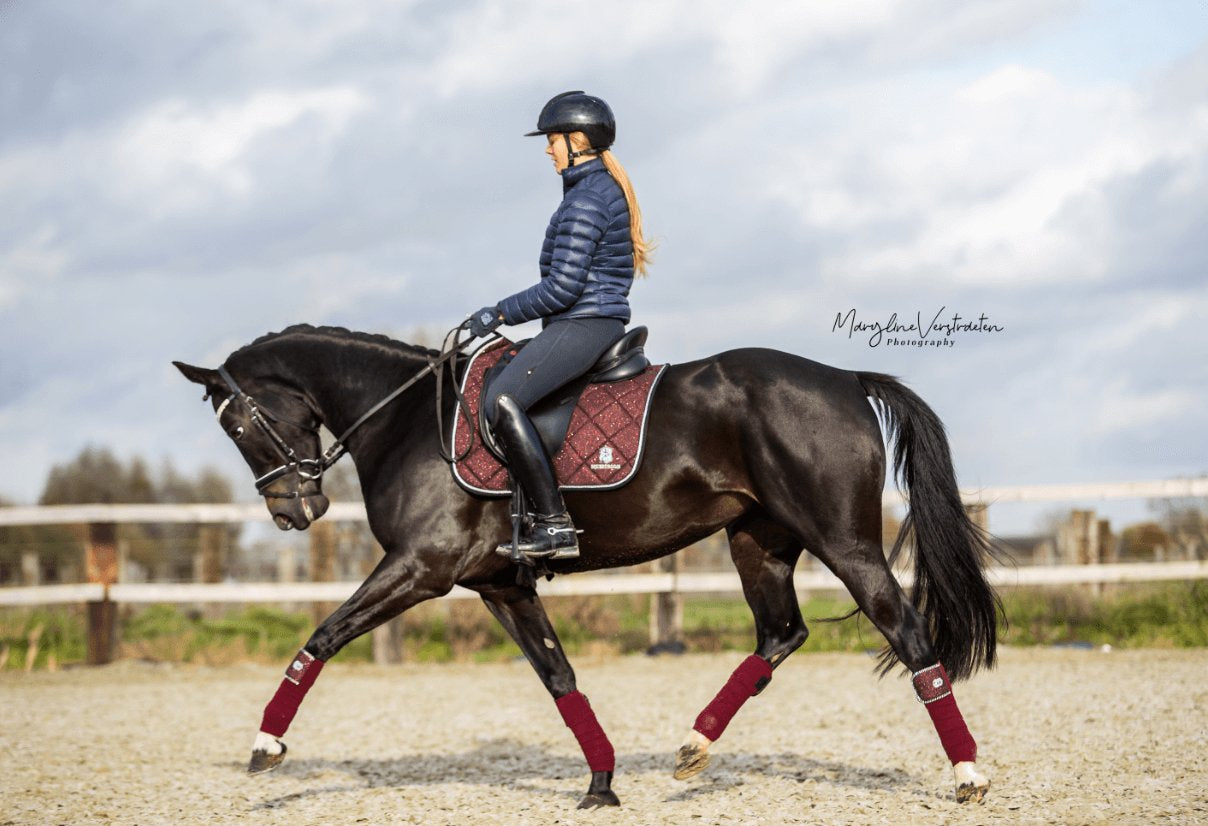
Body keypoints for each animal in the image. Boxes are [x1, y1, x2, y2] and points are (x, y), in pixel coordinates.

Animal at [172, 323, 1000, 806]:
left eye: (238, 424)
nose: (292, 511)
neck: (406, 419)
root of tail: (846, 378)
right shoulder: (499, 584)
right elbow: (559, 678)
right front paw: (602, 783)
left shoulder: (420, 568)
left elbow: (323, 635)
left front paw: (266, 745)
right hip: (757, 541)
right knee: (780, 634)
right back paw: (693, 746)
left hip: (843, 543)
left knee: (907, 635)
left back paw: (967, 774)